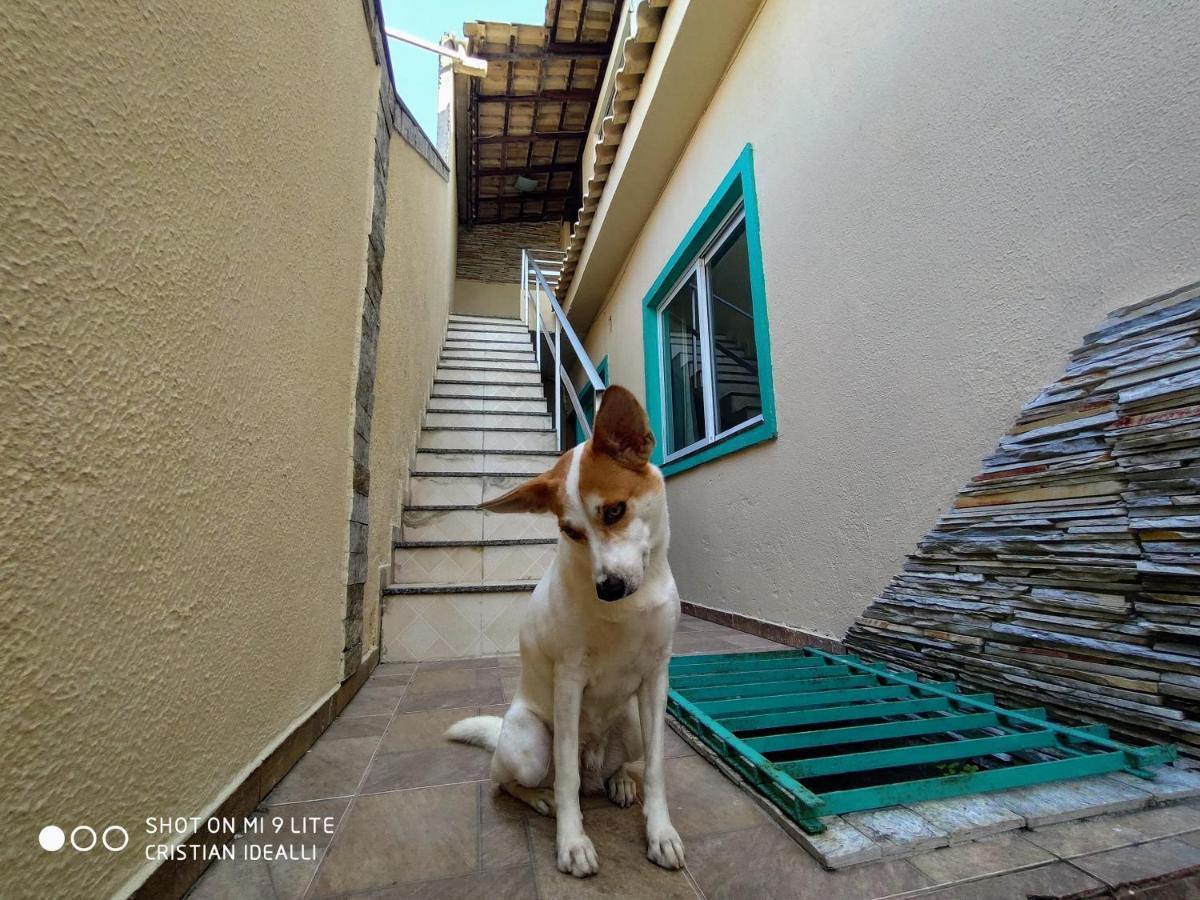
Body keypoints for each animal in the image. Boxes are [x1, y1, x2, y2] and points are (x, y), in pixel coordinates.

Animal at [446, 384, 686, 878]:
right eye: (570, 531)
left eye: (614, 510)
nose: (608, 589)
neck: (626, 609)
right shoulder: (570, 680)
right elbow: (567, 782)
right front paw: (572, 843)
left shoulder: (656, 678)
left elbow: (656, 768)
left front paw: (660, 832)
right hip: (530, 745)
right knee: (511, 779)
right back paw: (541, 798)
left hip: (632, 723)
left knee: (608, 769)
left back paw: (618, 782)